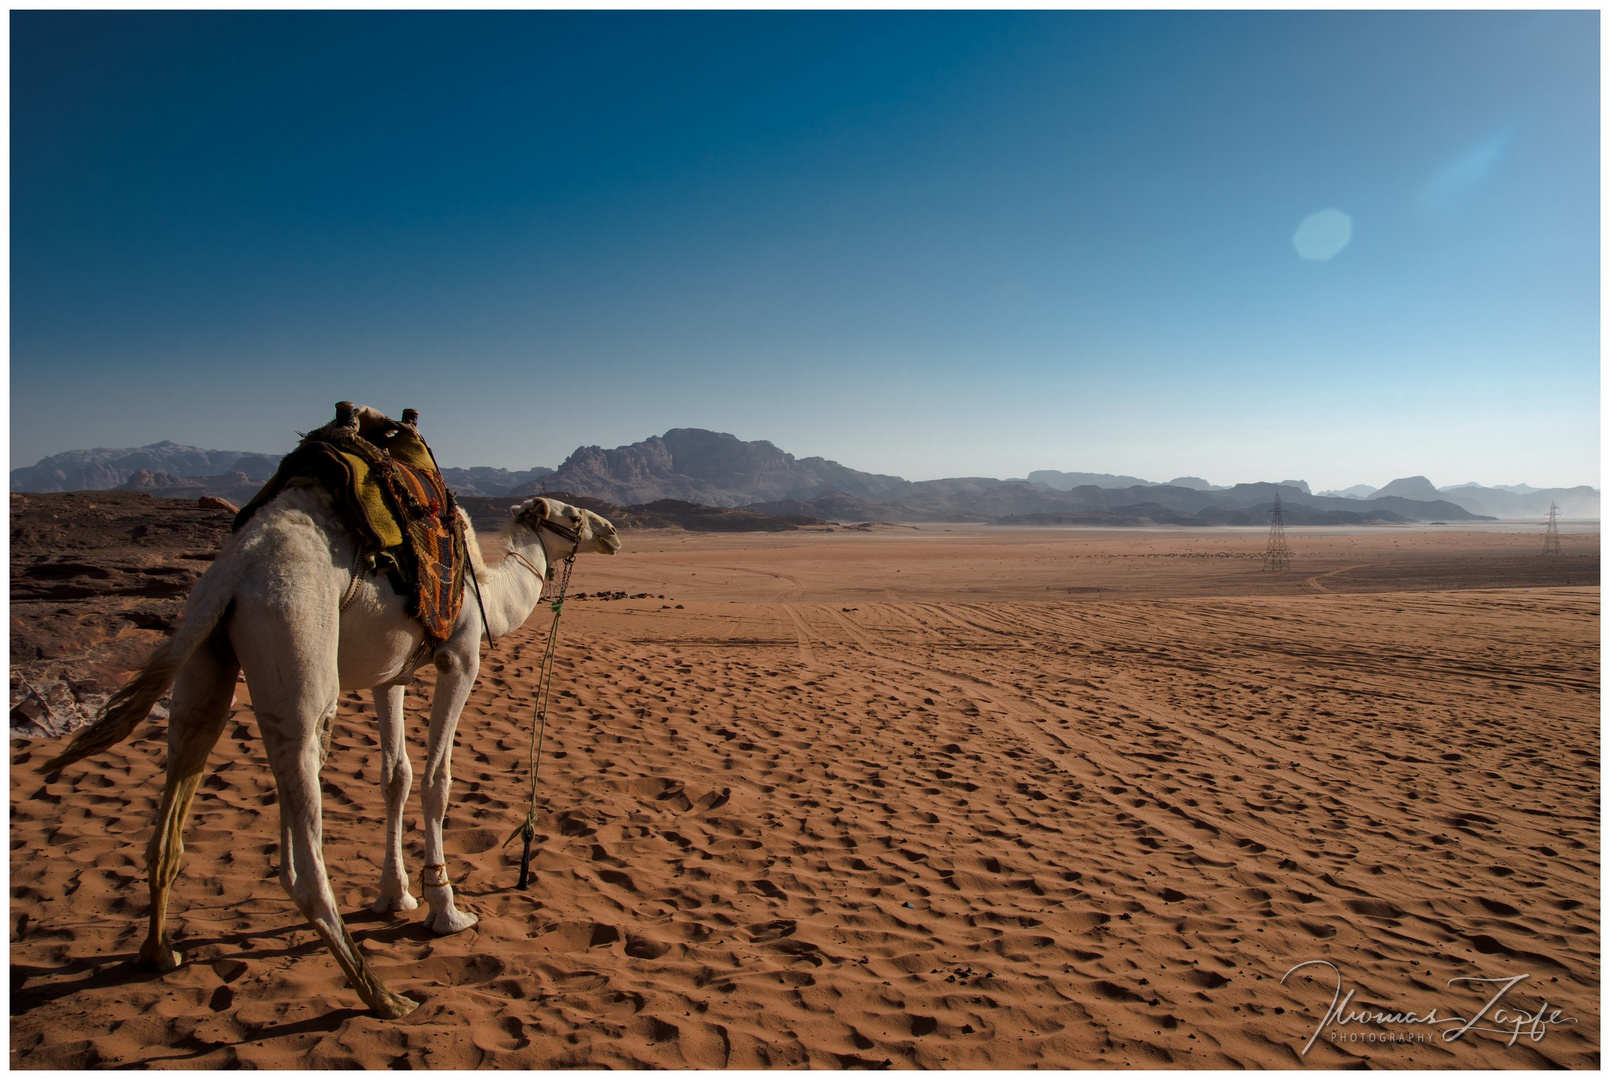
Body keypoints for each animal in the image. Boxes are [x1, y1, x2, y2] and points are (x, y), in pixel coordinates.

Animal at [42, 476, 621, 1023]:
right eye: (572, 515)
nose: (612, 533)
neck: (489, 592)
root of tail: (233, 574)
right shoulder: (459, 657)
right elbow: (436, 780)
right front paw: (445, 910)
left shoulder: (392, 673)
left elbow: (396, 777)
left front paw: (395, 895)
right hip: (296, 644)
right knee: (303, 818)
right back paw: (382, 995)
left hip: (205, 654)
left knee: (190, 757)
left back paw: (160, 951)